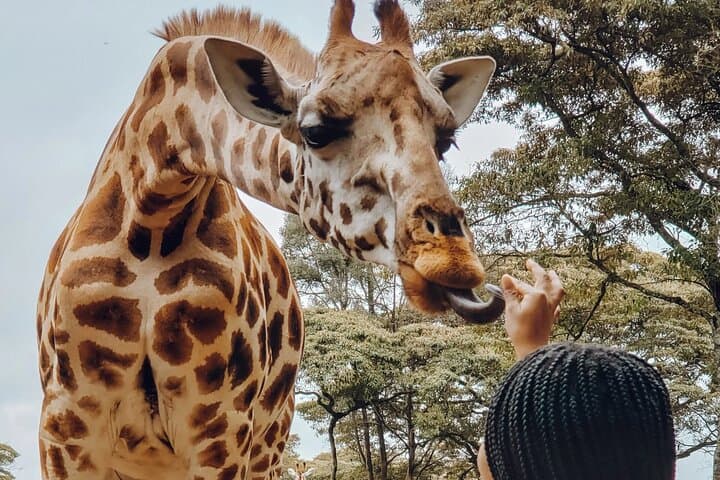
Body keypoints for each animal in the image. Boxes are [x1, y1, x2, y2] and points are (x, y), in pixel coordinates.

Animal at [36, 1, 502, 479]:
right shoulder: (66, 425)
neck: (153, 218)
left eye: (445, 141)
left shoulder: (221, 426)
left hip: (269, 445)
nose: (454, 262)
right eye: (315, 130)